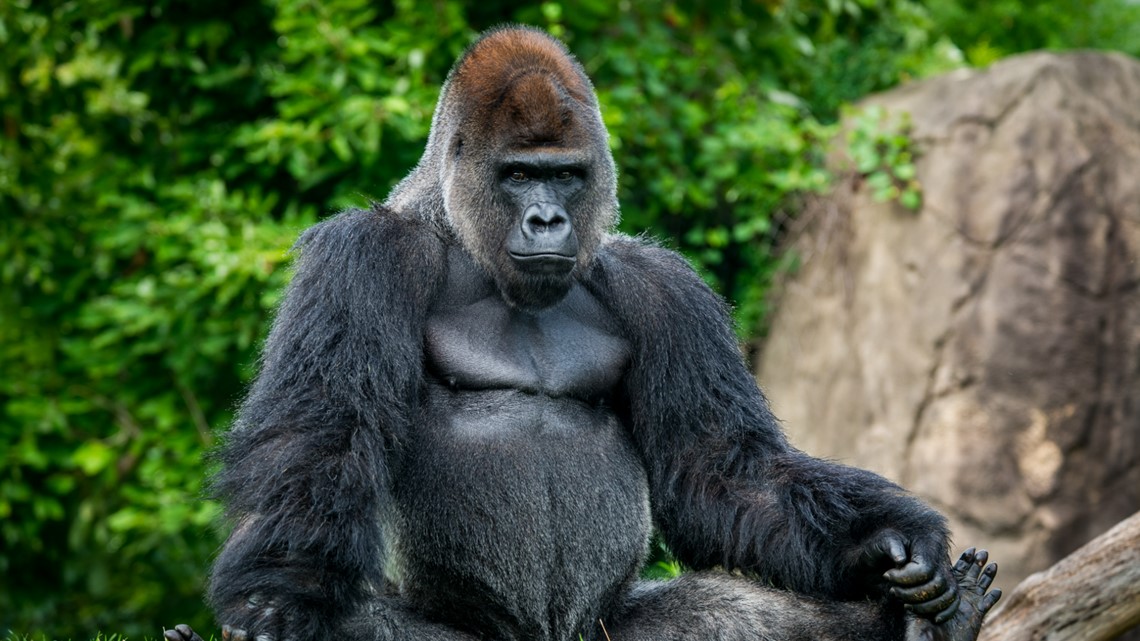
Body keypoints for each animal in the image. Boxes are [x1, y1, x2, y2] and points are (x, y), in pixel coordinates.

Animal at [166, 26, 1001, 641]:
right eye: (518, 174)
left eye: (565, 174)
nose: (546, 219)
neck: (461, 228)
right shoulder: (362, 258)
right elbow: (321, 436)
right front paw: (277, 604)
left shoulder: (662, 289)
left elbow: (721, 468)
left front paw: (887, 536)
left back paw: (927, 627)